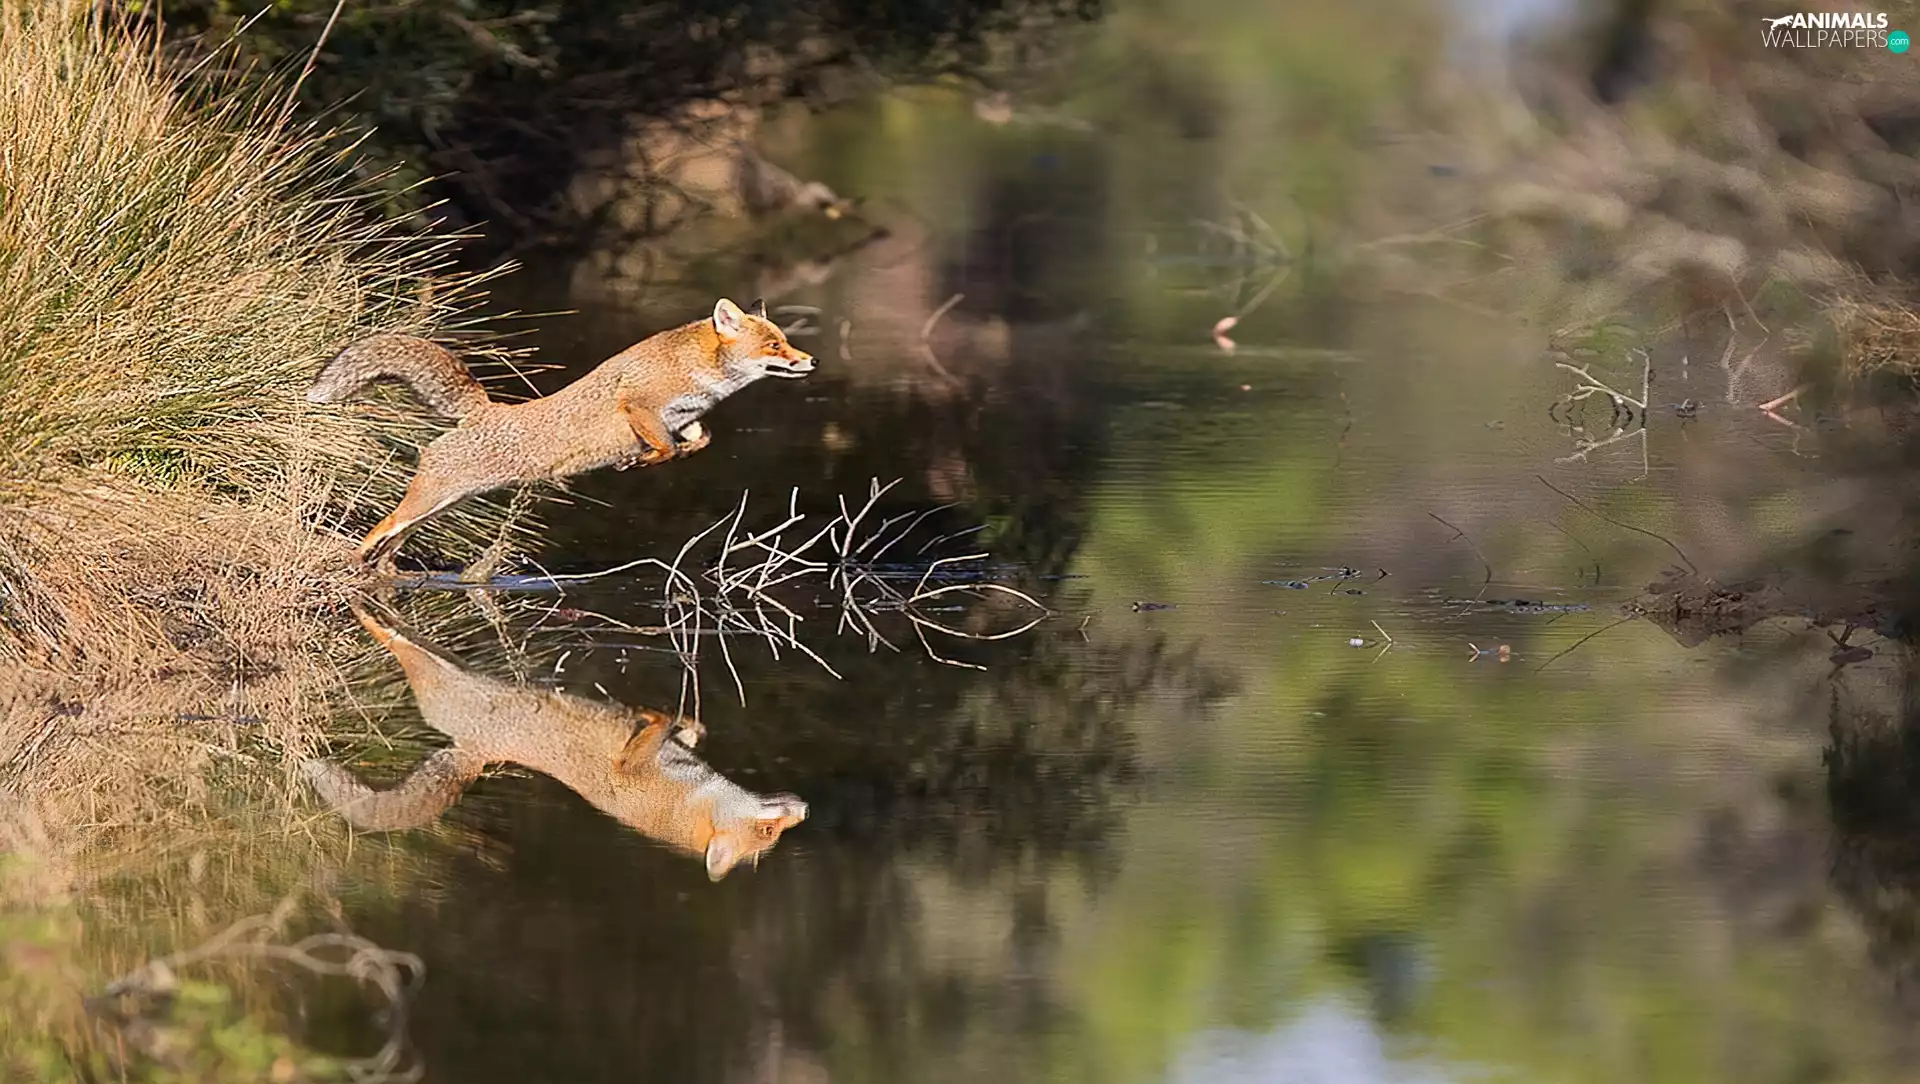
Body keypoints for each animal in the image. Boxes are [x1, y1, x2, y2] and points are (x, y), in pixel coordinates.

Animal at [302, 603, 808, 880]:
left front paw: (686, 725)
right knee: (394, 637)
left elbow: (685, 729)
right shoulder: (629, 767)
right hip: (434, 667)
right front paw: (658, 716)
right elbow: (651, 726)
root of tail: (475, 753)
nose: (805, 810)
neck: (687, 800)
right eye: (768, 833)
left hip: (445, 666)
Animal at [308, 297, 817, 566]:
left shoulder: (685, 417)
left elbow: (698, 441)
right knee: (379, 530)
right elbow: (664, 449)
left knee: (391, 544)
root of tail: (484, 411)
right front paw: (640, 460)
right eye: (775, 345)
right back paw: (352, 562)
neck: (698, 373)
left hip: (441, 507)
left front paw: (664, 456)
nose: (810, 360)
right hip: (428, 501)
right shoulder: (639, 406)